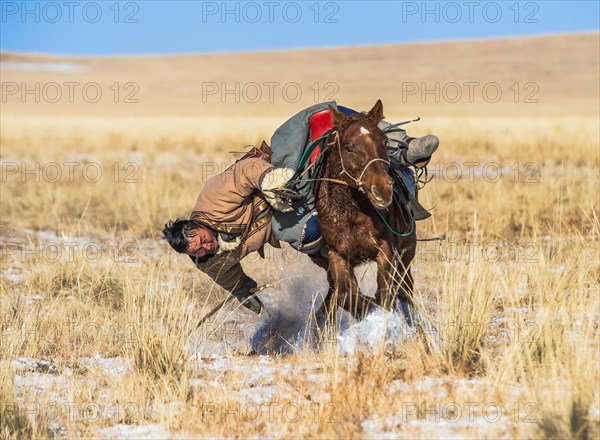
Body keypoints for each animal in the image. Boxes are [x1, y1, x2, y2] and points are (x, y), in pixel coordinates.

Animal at [310, 99, 418, 324]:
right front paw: (365, 309)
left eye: (384, 141)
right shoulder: (337, 254)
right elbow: (346, 294)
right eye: (349, 147)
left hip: (407, 252)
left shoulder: (386, 248)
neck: (350, 212)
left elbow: (384, 293)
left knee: (405, 288)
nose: (383, 190)